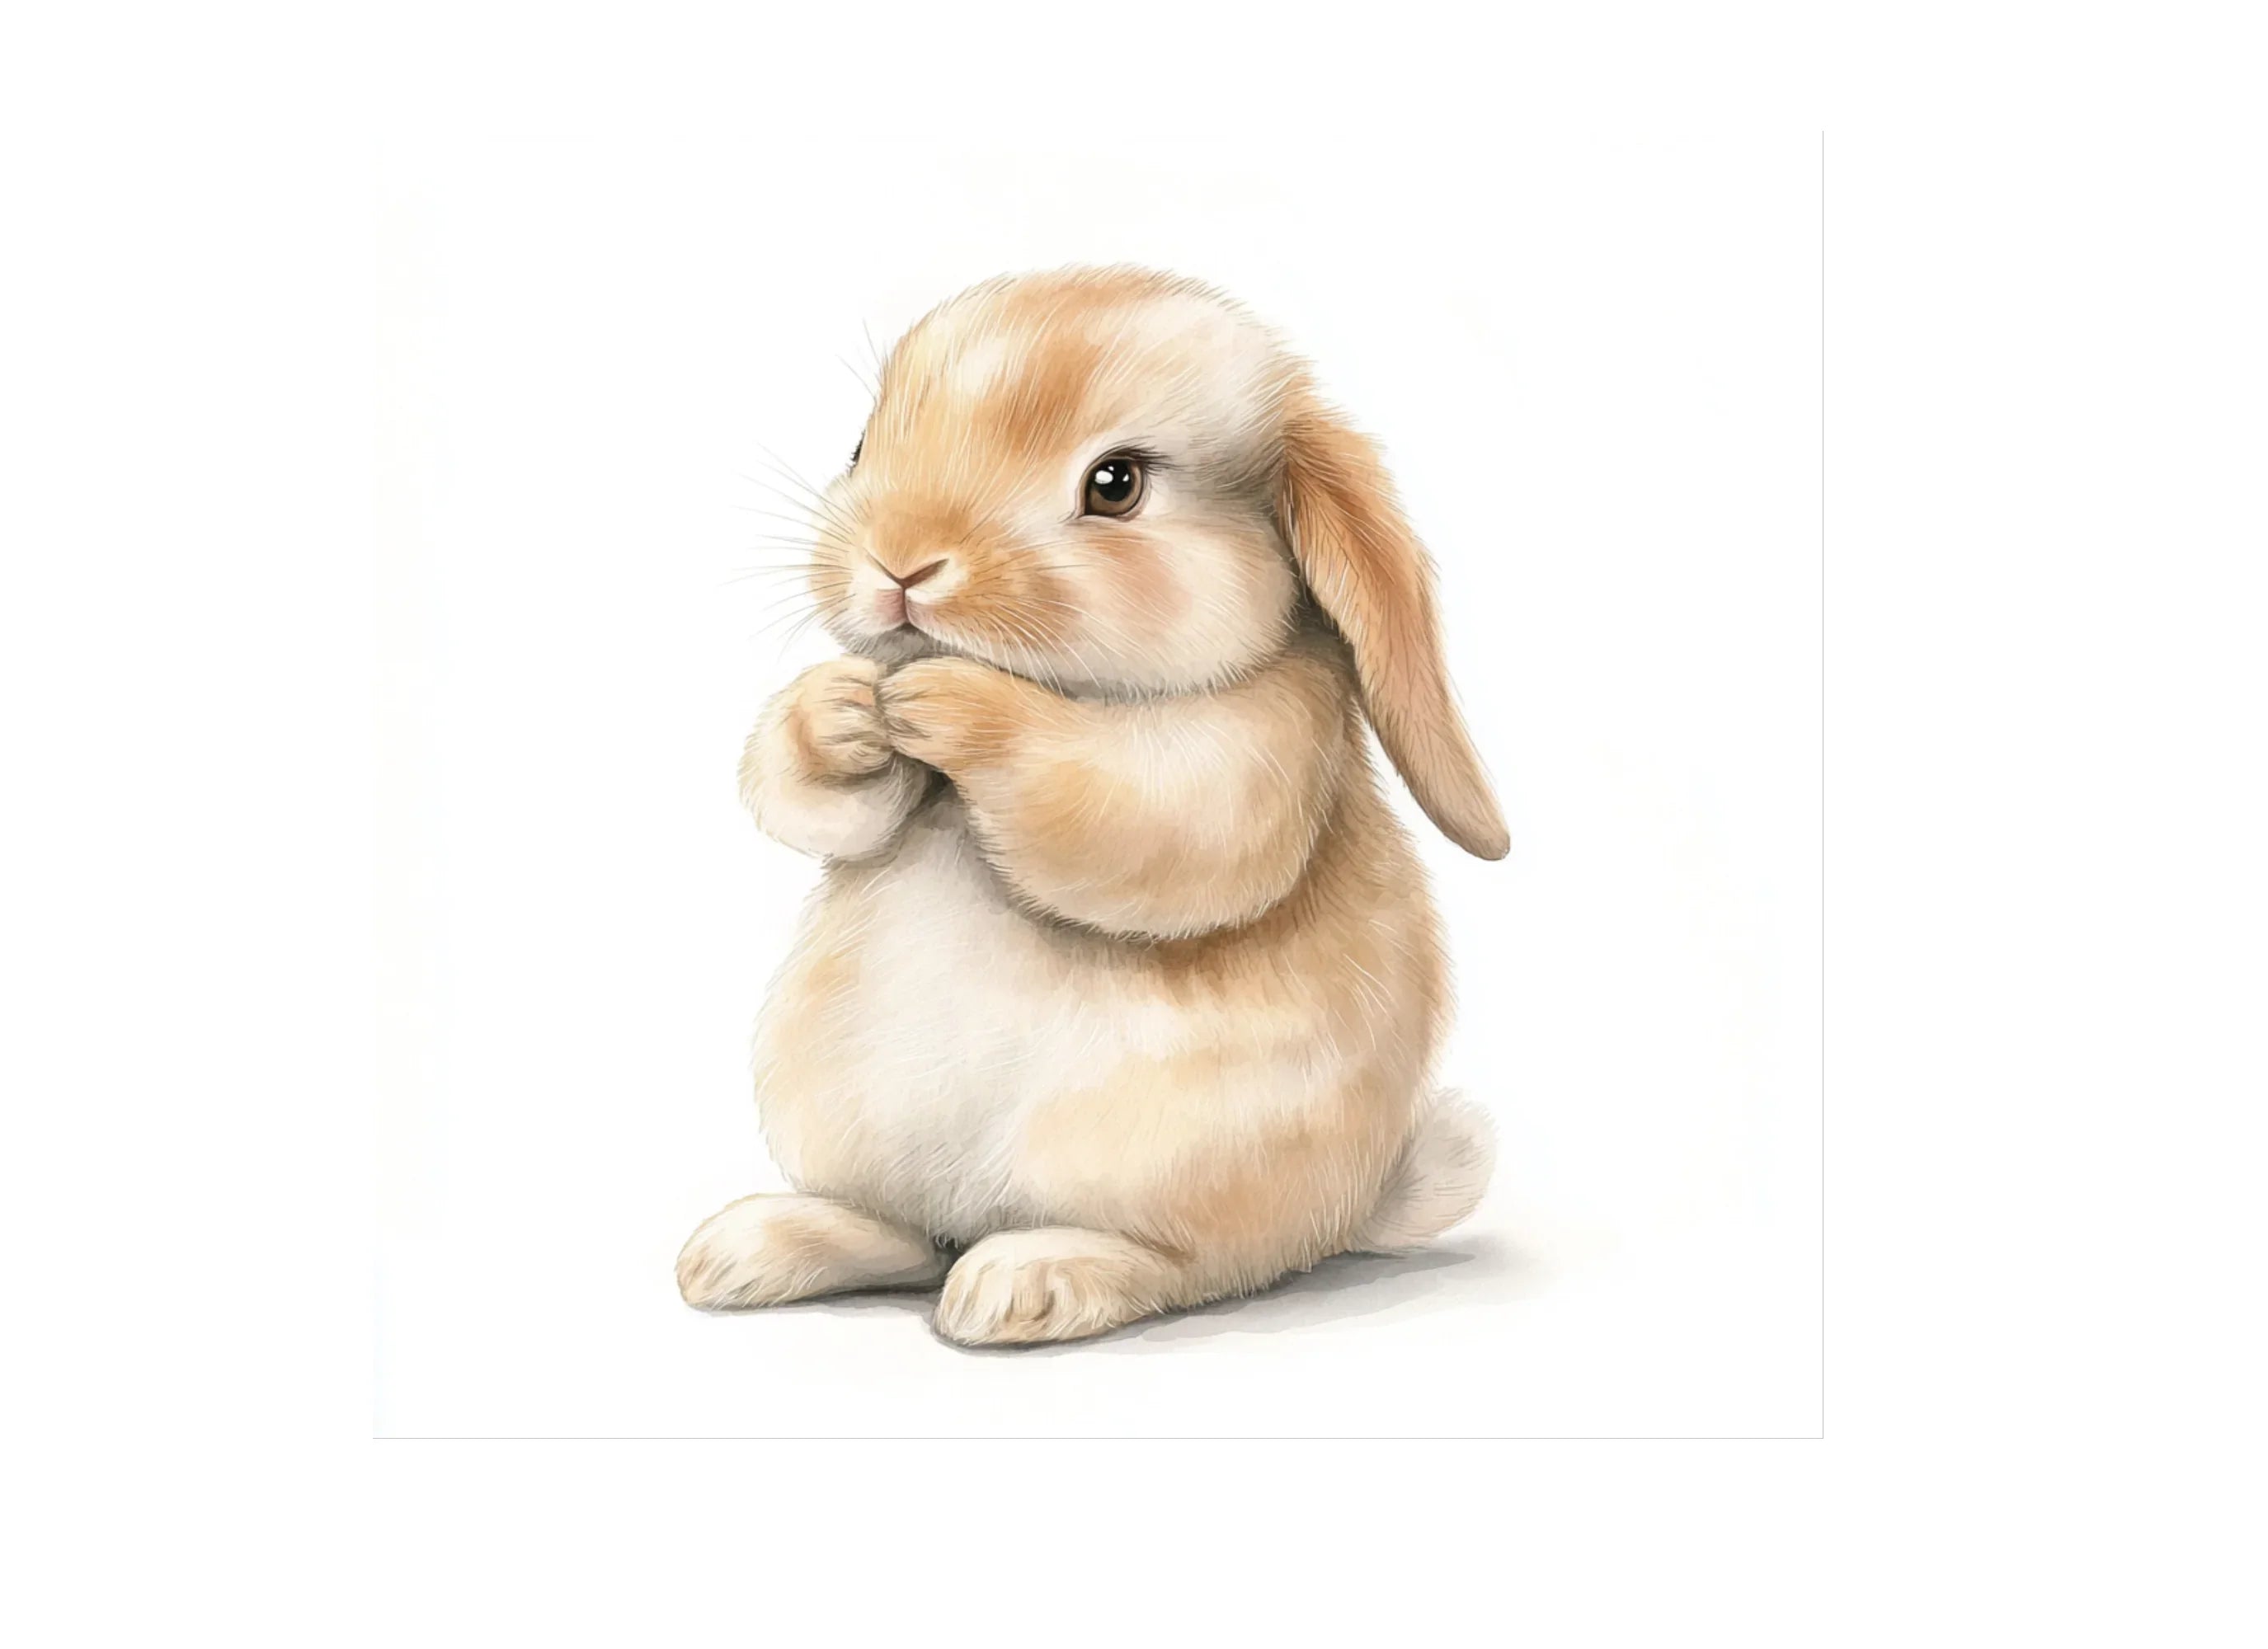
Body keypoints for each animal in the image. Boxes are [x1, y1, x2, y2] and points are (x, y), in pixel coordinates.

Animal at [676, 265, 1508, 1346]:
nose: (900, 563)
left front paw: (945, 701)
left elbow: (1124, 808)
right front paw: (846, 711)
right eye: (860, 444)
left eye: (1115, 484)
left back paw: (1025, 1280)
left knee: (1186, 1265)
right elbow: (805, 788)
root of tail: (1352, 1205)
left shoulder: (1247, 753)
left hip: (1179, 1160)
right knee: (910, 1234)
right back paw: (748, 1247)